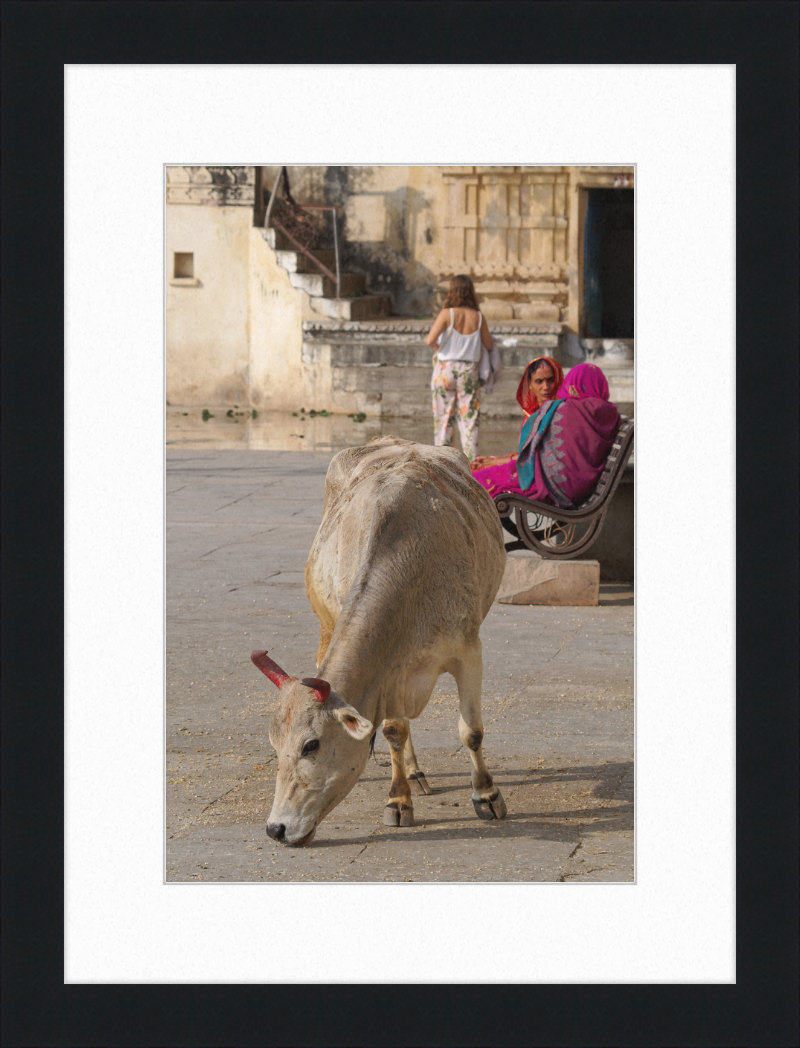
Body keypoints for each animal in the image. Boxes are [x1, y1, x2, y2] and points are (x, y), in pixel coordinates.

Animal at [253, 438, 507, 846]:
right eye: (274, 744)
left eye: (311, 744)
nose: (275, 829)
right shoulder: (388, 669)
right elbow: (392, 731)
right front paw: (398, 800)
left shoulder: (469, 652)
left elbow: (471, 731)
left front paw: (486, 795)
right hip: (327, 626)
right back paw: (412, 775)